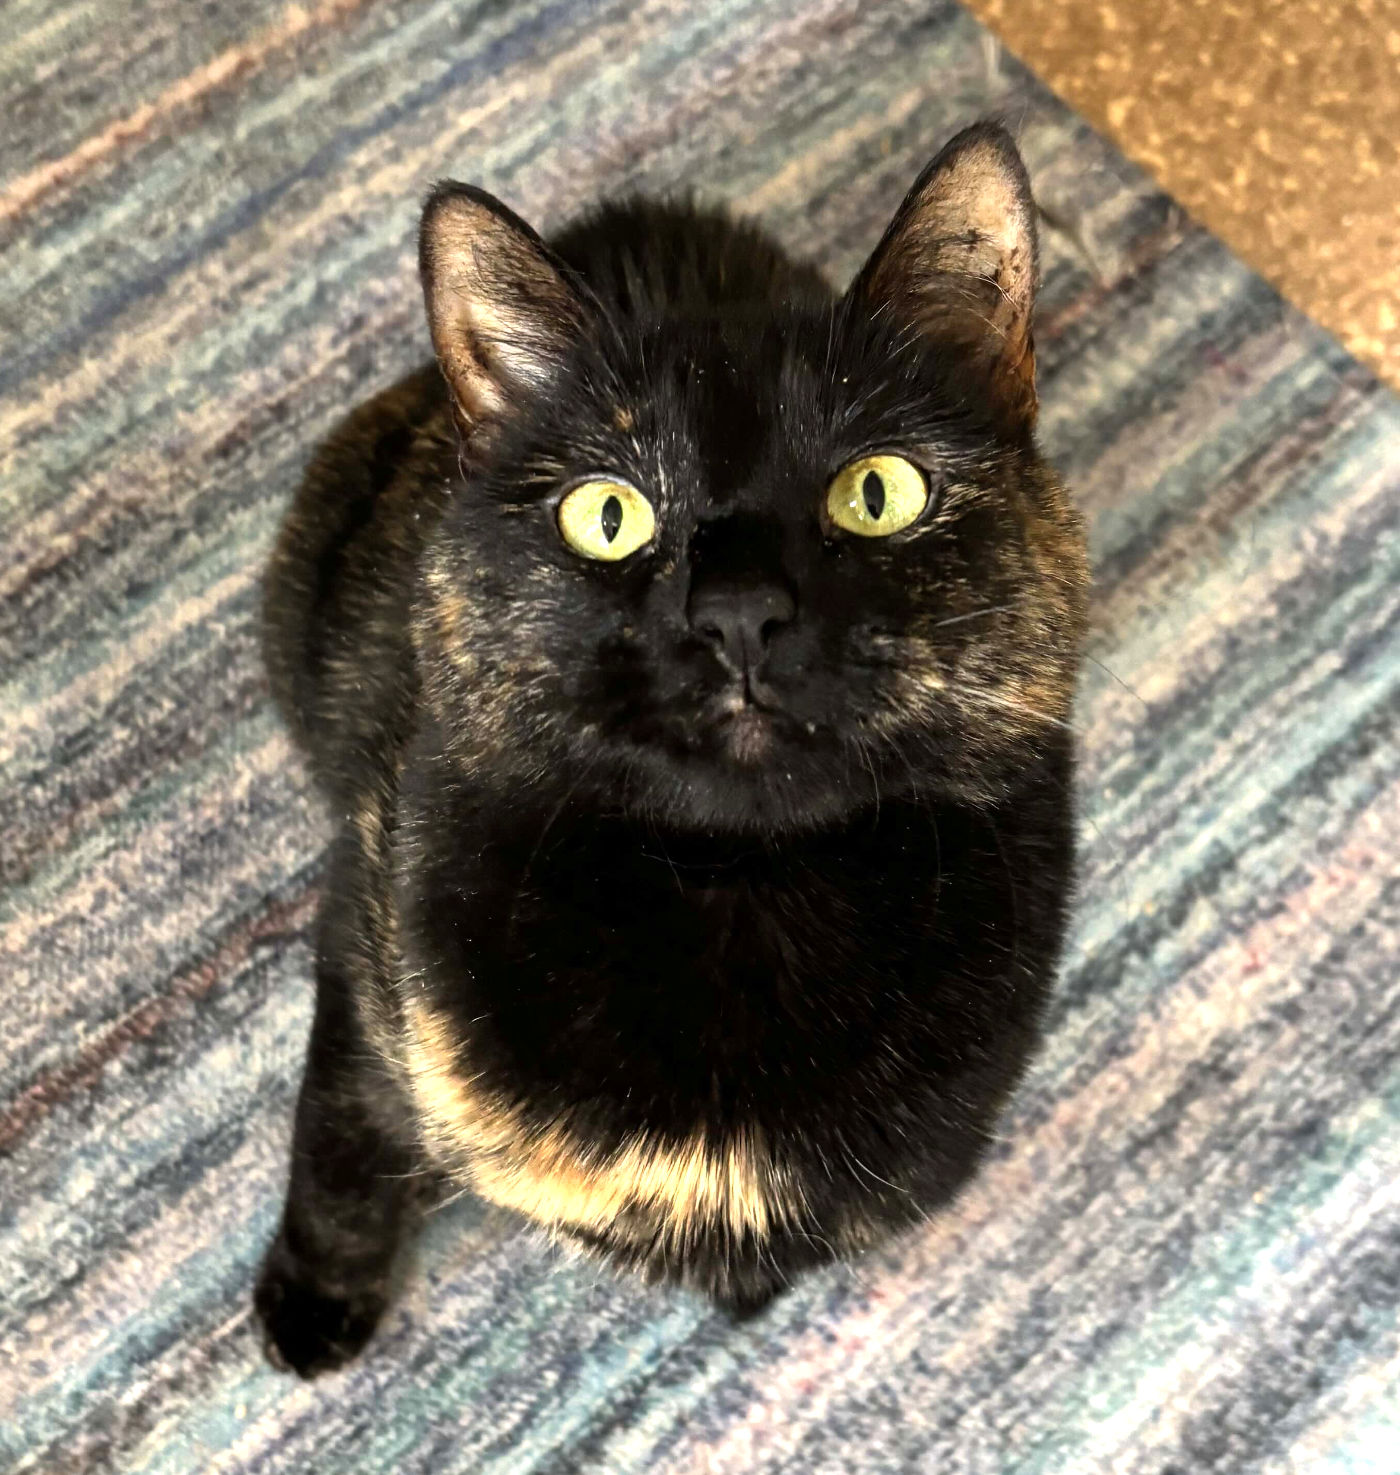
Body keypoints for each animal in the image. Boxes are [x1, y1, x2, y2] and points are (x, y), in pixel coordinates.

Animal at [255, 121, 1088, 1377]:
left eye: (877, 491)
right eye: (606, 514)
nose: (737, 612)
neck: (739, 905)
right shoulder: (368, 927)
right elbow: (343, 1130)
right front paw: (312, 1302)